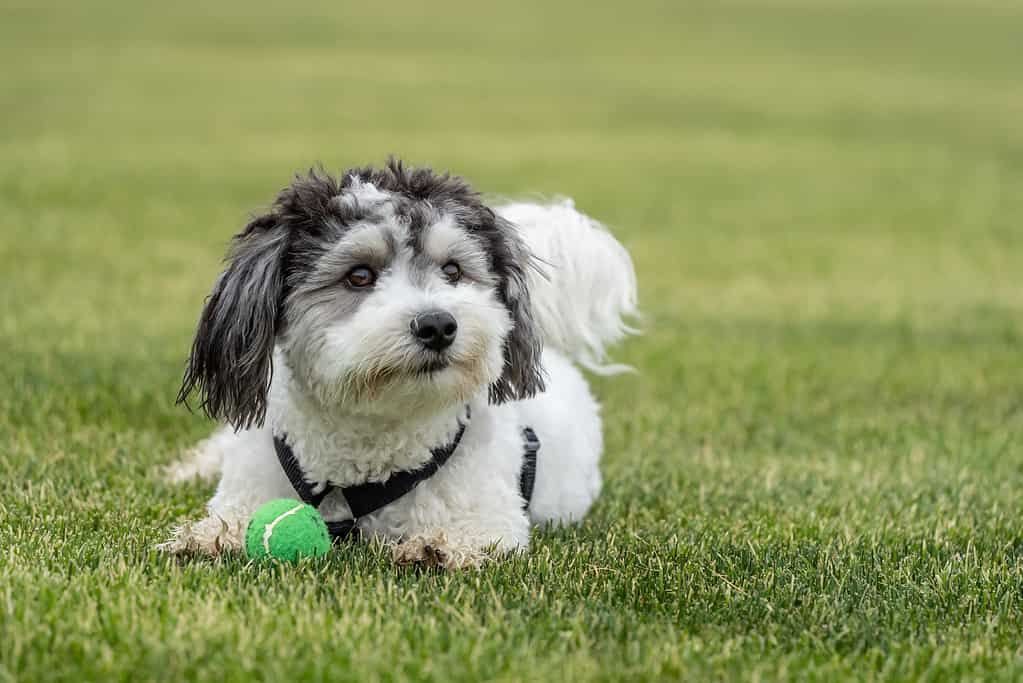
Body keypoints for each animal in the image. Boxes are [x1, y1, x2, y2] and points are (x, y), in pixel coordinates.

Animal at [159, 157, 634, 568]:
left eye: (453, 271)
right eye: (359, 276)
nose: (438, 325)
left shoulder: (493, 516)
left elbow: (474, 535)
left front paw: (437, 547)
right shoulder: (255, 481)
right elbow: (231, 516)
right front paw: (212, 536)